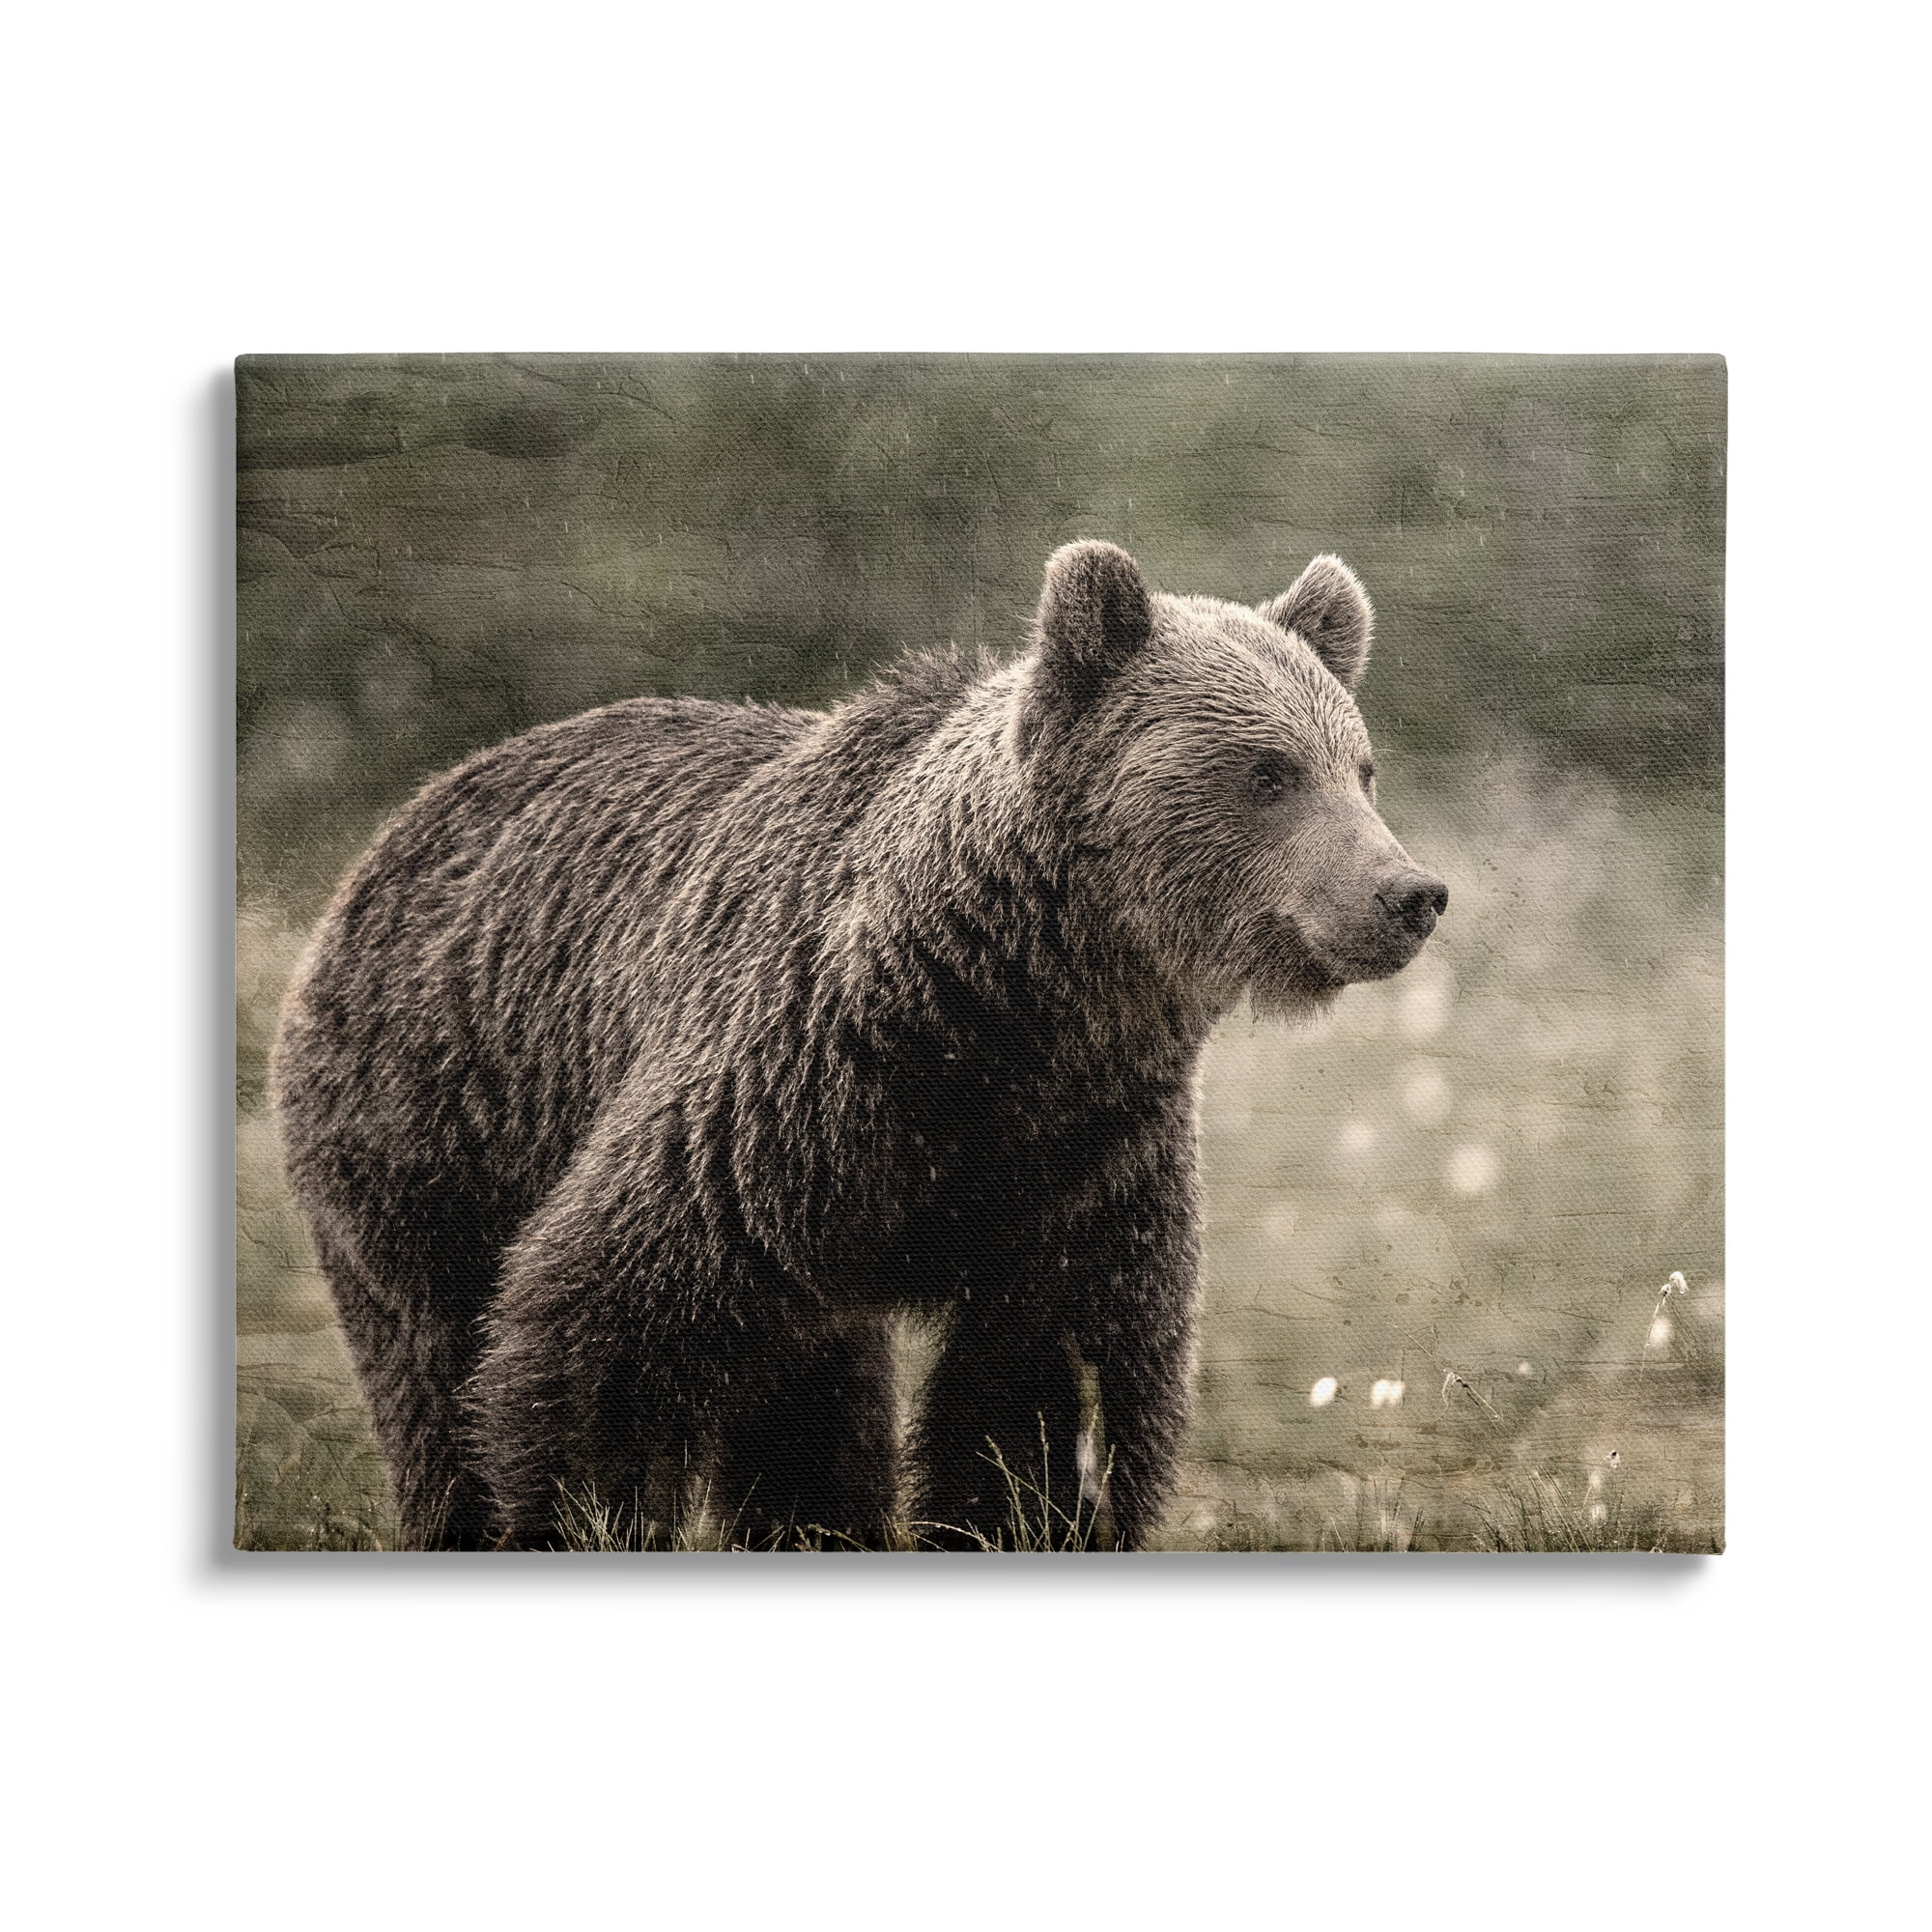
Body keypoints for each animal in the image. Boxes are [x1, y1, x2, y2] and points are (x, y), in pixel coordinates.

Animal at [271, 540, 1446, 1550]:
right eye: (1266, 771)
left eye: (1361, 766)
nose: (1408, 893)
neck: (1011, 1010)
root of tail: (402, 822)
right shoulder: (786, 1096)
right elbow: (604, 1326)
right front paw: (583, 1514)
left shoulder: (1085, 1157)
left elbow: (1047, 1394)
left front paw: (1025, 1515)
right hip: (434, 1122)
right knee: (436, 1360)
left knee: (809, 1402)